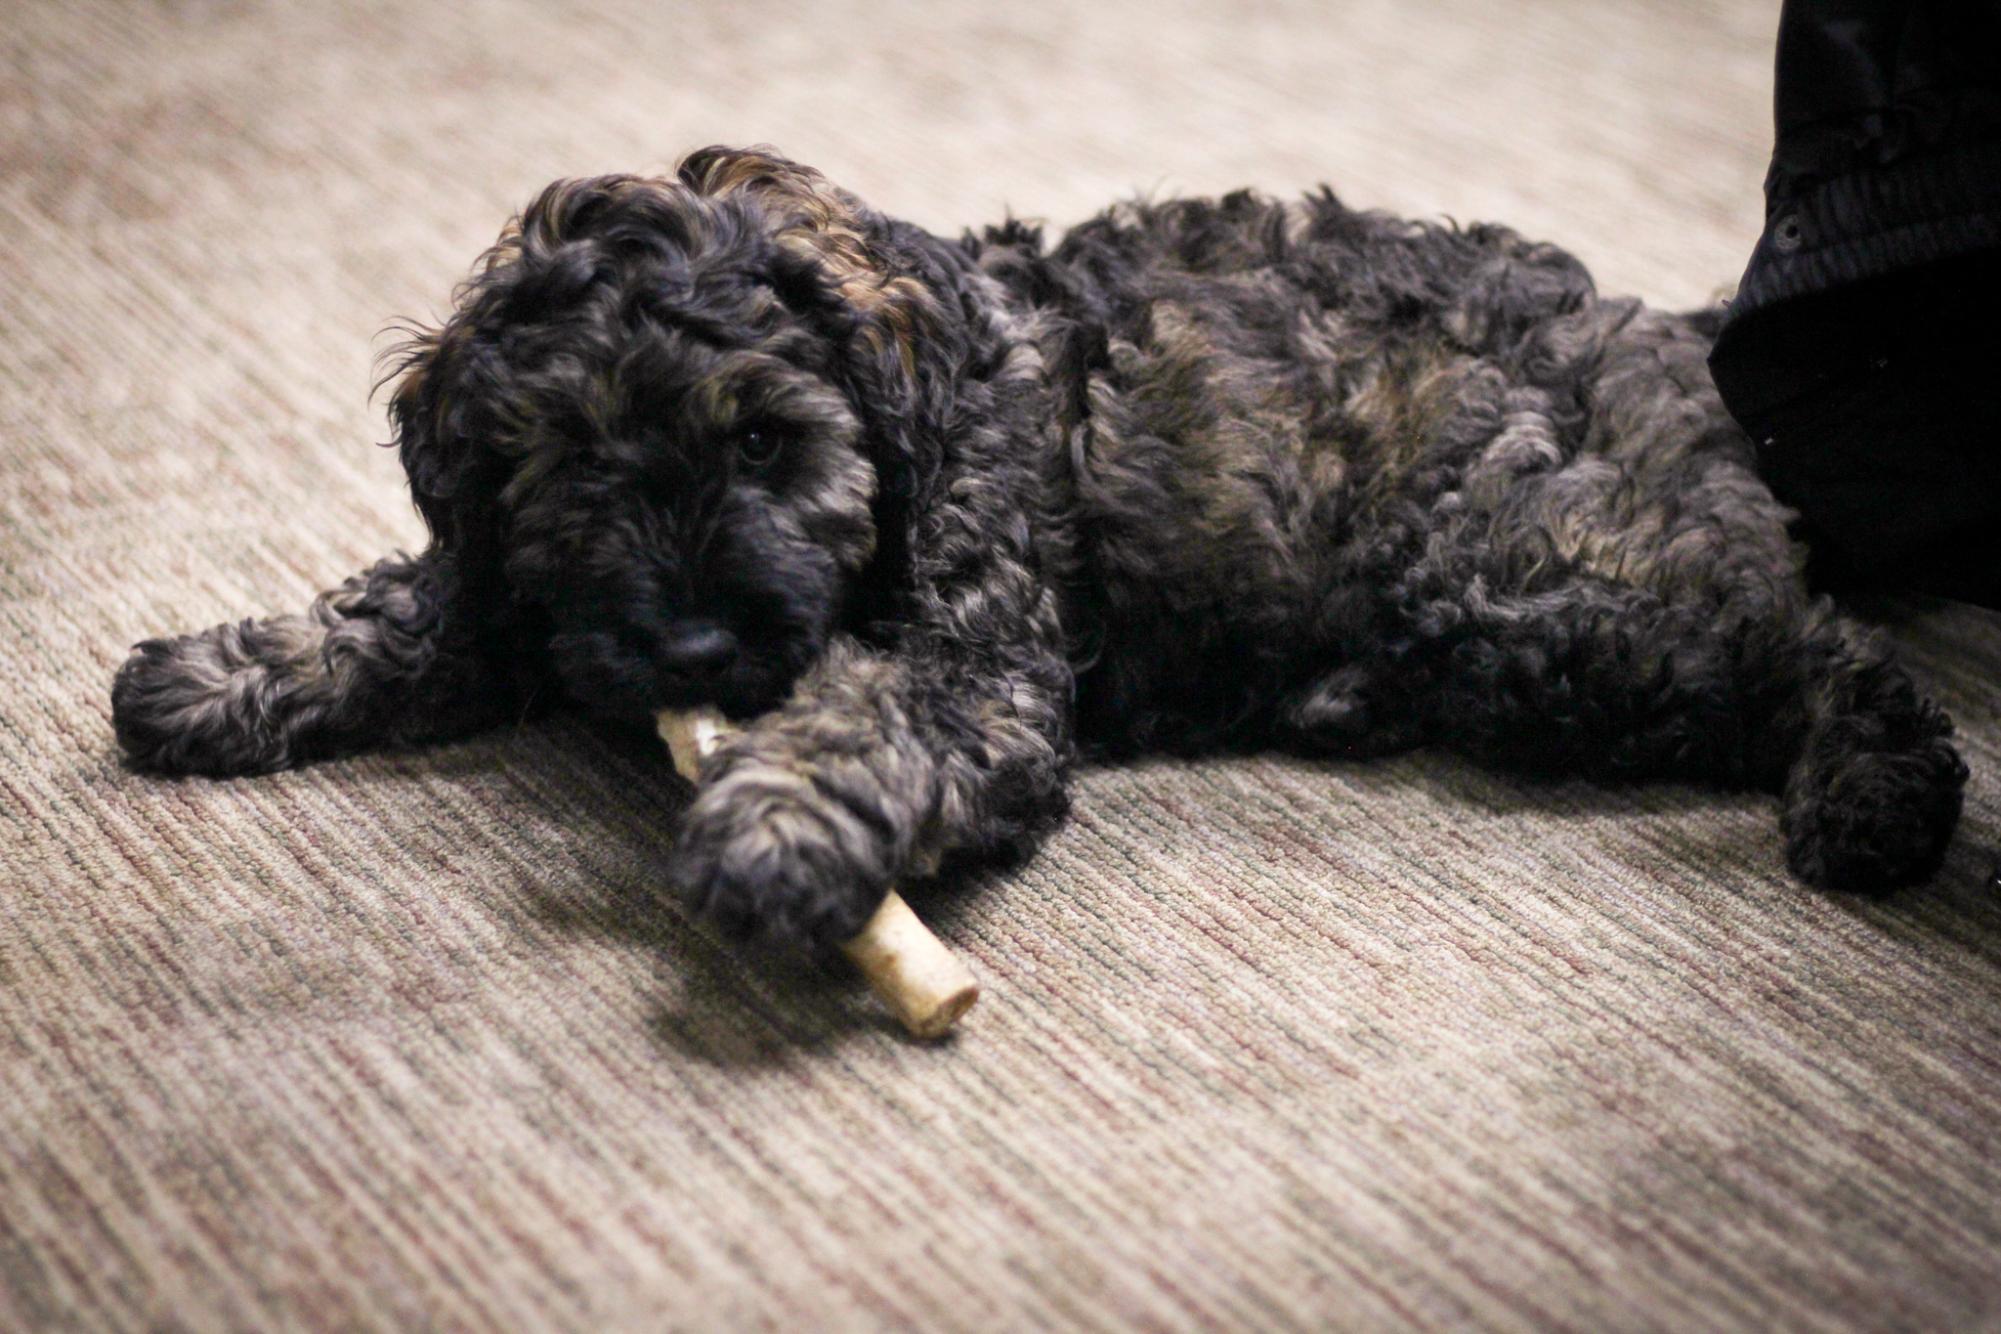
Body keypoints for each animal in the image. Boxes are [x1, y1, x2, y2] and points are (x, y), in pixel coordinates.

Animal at [109, 146, 1968, 948]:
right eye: (574, 463)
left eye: (771, 443)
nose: (696, 653)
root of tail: (1668, 331)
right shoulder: (536, 581)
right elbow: (435, 601)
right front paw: (224, 670)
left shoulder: (981, 661)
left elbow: (871, 715)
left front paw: (773, 829)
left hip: (1532, 584)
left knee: (1825, 644)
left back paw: (1876, 794)